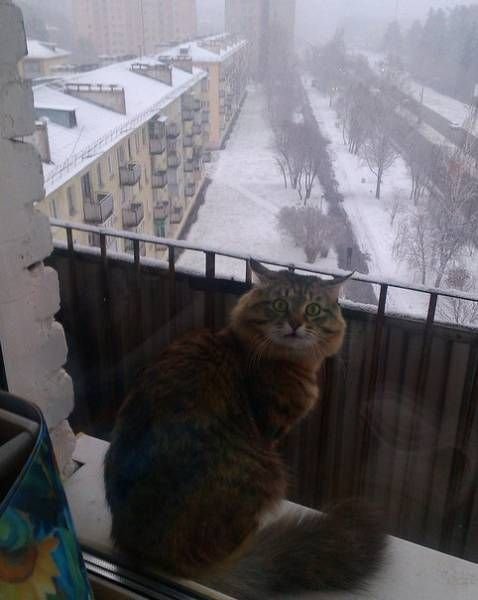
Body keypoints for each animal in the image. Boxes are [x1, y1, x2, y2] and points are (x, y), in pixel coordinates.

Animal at [104, 259, 386, 599]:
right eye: (279, 305)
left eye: (313, 309)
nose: (295, 323)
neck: (286, 361)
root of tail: (158, 557)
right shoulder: (272, 430)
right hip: (269, 471)